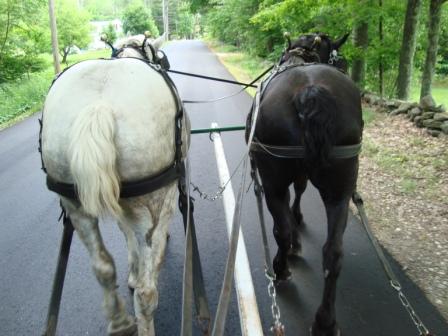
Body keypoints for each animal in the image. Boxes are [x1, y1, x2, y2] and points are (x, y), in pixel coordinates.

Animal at [40, 34, 189, 336]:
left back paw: (119, 321)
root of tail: (98, 106)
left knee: (103, 267)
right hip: (151, 203)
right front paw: (138, 270)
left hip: (75, 204)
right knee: (146, 292)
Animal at [248, 33, 364, 336]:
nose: (345, 67)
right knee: (333, 253)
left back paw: (281, 268)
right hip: (340, 190)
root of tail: (311, 92)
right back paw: (325, 321)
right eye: (342, 60)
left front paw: (296, 227)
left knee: (283, 230)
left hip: (273, 182)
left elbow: (296, 196)